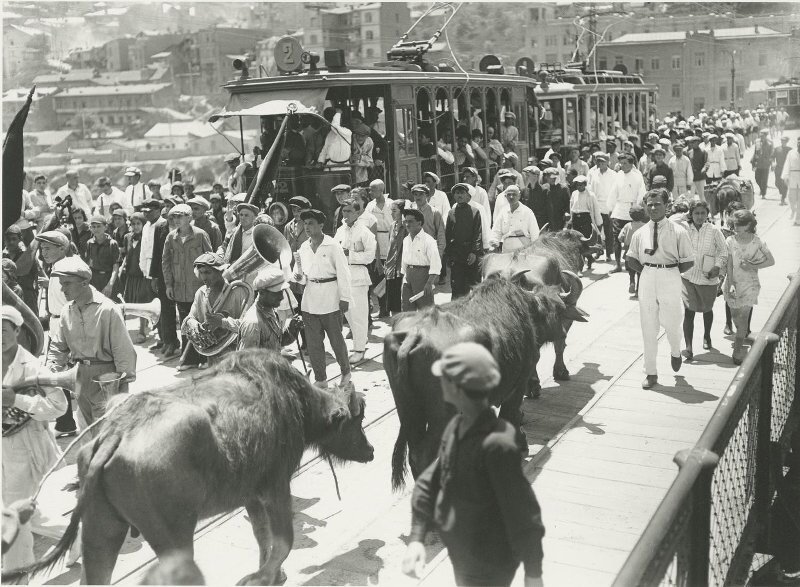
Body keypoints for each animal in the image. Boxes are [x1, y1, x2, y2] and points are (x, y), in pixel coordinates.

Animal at [3, 352, 376, 584]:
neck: (295, 403)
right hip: (174, 536)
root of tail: (116, 431)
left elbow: (262, 537)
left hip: (101, 528)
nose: (371, 451)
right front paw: (263, 576)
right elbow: (282, 540)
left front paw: (272, 575)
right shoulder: (275, 485)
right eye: (356, 420)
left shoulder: (251, 493)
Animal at [384, 274, 584, 490]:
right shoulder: (518, 384)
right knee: (424, 454)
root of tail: (415, 334)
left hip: (408, 411)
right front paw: (520, 444)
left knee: (414, 452)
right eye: (559, 308)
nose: (563, 333)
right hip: (441, 414)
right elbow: (511, 415)